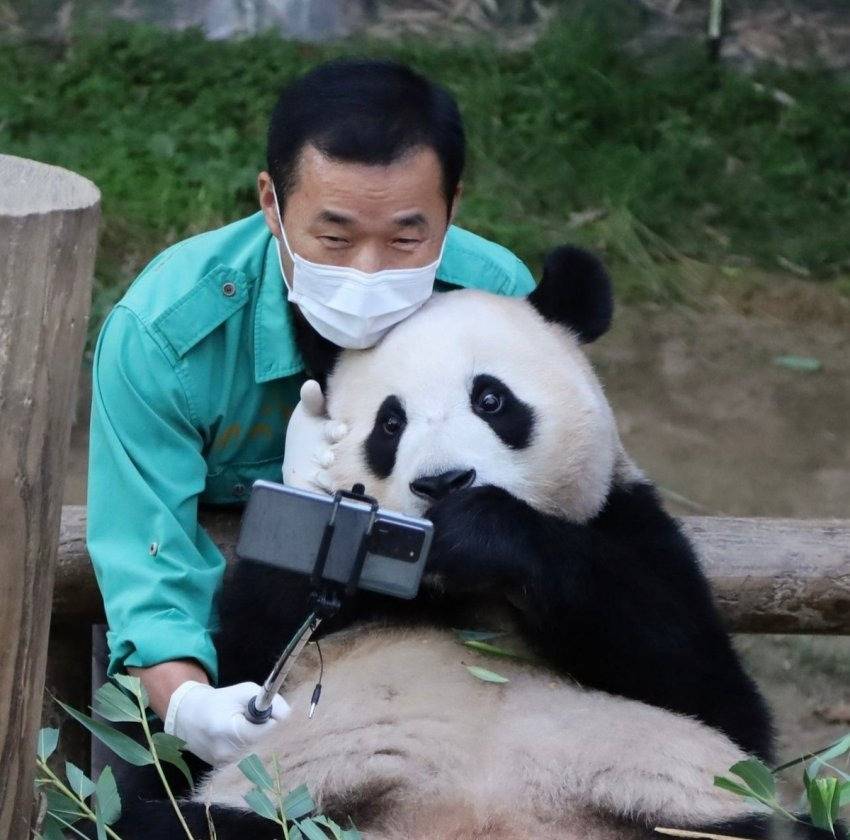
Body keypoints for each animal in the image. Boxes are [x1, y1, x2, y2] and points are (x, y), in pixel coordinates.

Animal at [116, 246, 844, 836]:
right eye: (389, 424)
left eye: (491, 400)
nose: (443, 481)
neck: (455, 590)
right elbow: (228, 670)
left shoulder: (630, 528)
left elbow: (706, 688)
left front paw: (481, 528)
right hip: (283, 806)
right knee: (179, 822)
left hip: (683, 815)